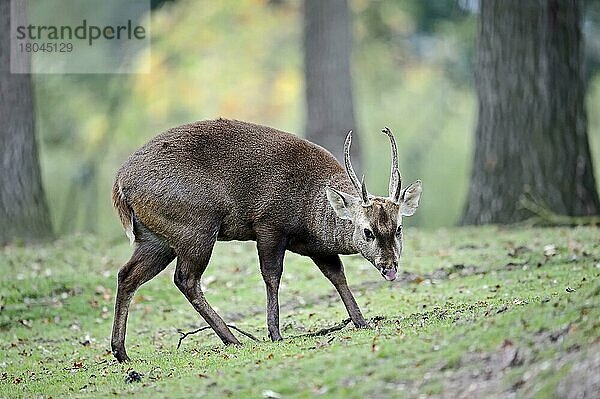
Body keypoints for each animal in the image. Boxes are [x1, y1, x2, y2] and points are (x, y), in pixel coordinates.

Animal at [112, 118, 422, 362]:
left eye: (398, 228)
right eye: (367, 231)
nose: (390, 266)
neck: (309, 213)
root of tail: (120, 185)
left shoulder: (318, 249)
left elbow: (337, 276)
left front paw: (361, 321)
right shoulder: (269, 225)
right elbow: (272, 275)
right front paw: (275, 332)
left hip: (156, 238)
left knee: (127, 275)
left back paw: (121, 352)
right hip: (196, 226)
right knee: (185, 279)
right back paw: (233, 339)